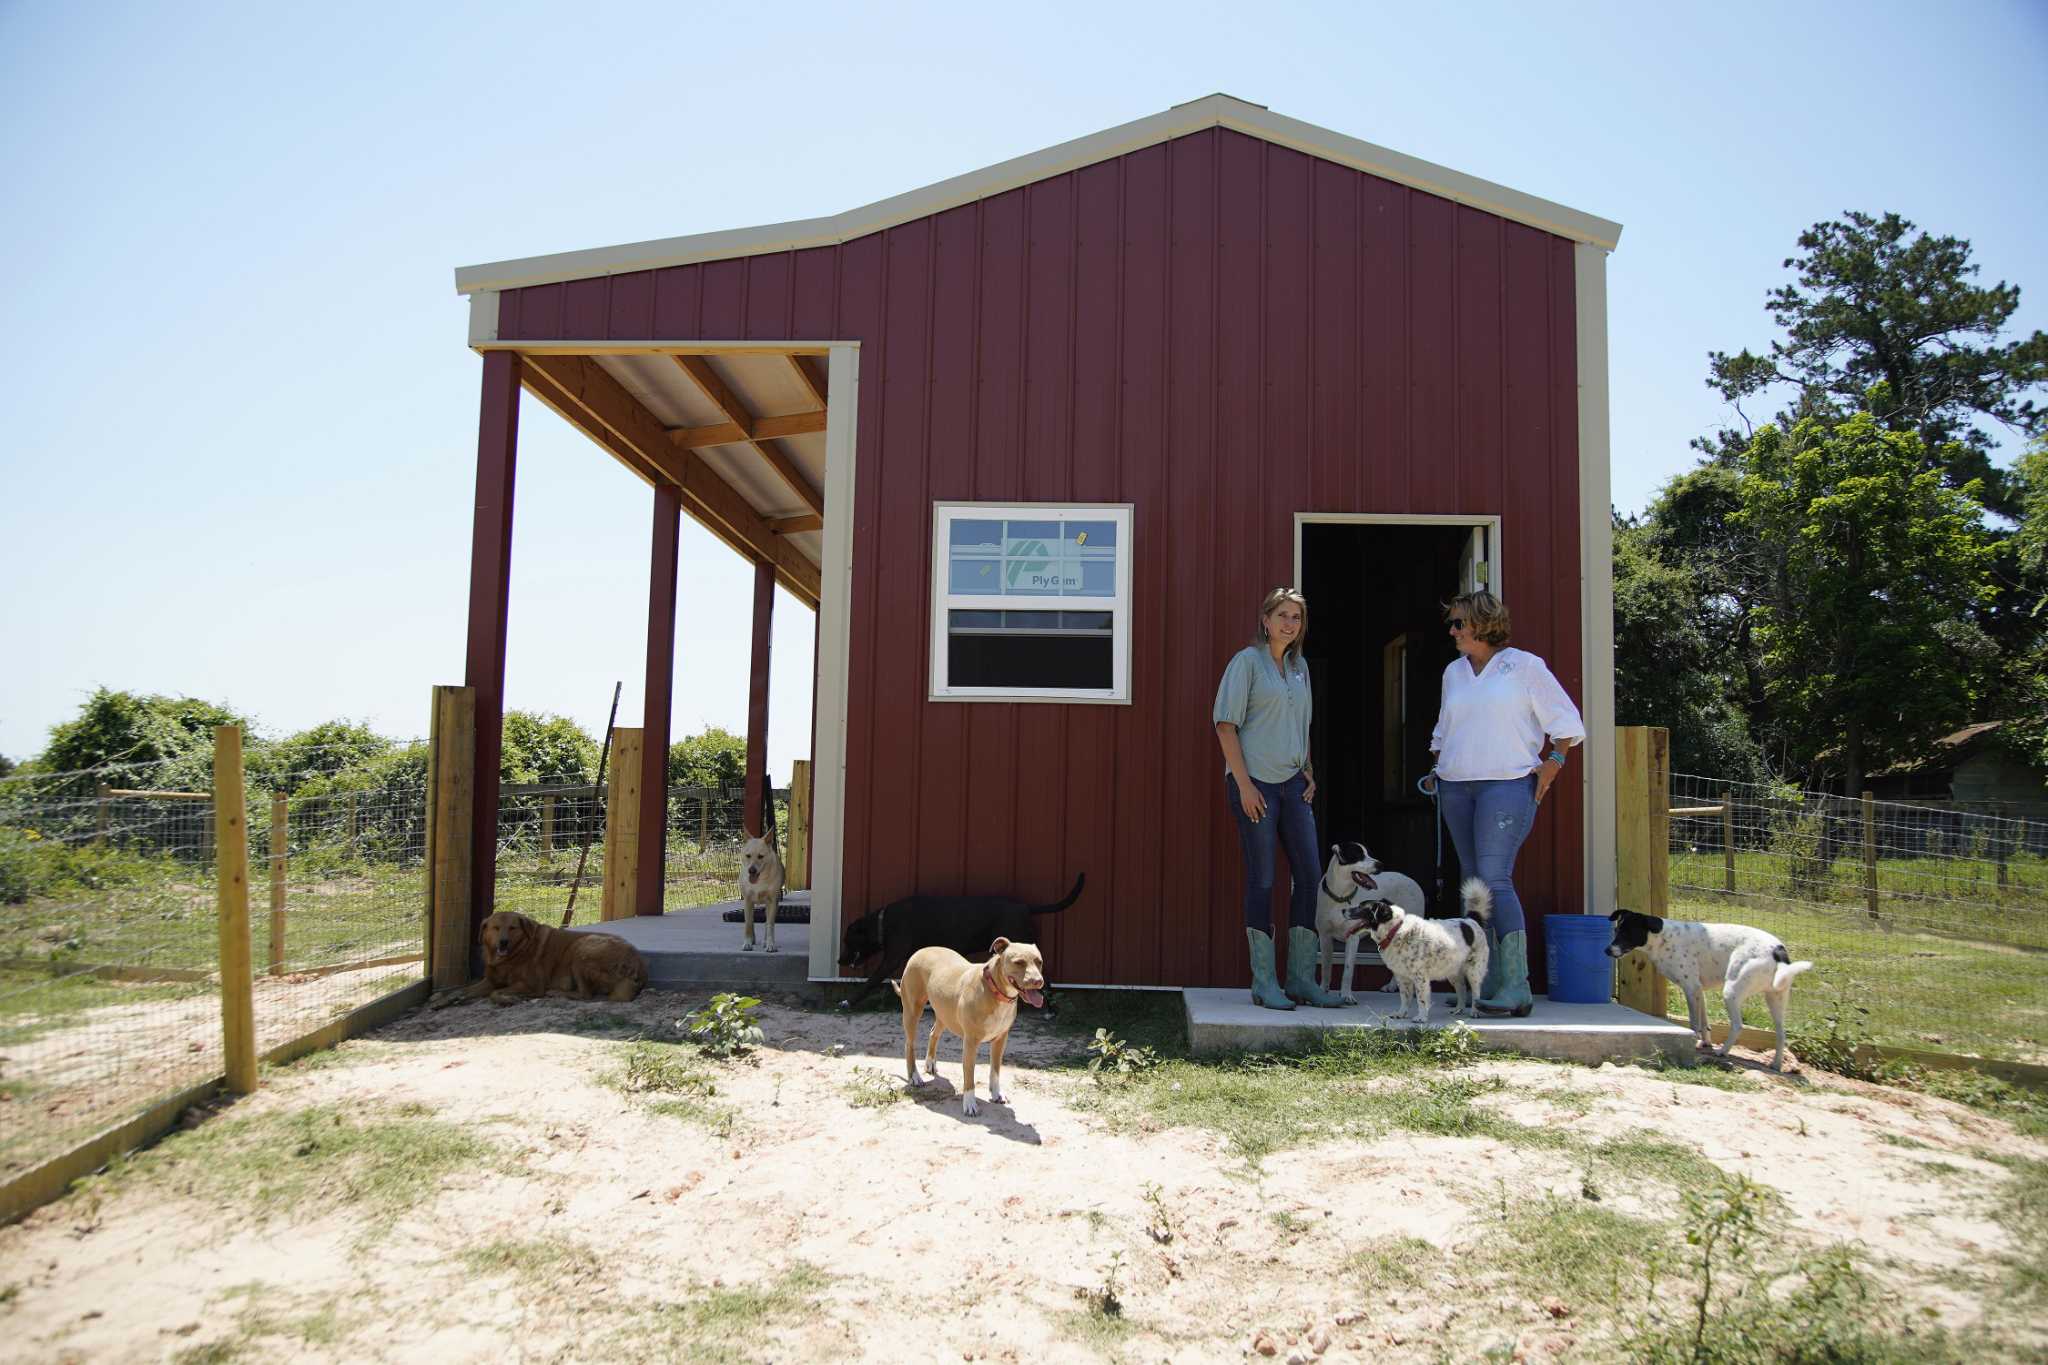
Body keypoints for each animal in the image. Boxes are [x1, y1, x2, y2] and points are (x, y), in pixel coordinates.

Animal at [835, 871, 1081, 1010]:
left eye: (847, 940)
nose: (839, 960)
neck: (882, 921)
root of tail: (1026, 907)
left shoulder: (891, 959)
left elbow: (871, 981)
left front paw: (848, 1002)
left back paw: (1050, 1011)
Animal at [892, 941, 1048, 1121]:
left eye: (1039, 962)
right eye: (1019, 962)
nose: (1038, 981)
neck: (995, 991)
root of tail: (921, 951)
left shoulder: (1000, 1040)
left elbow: (995, 1070)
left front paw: (996, 1094)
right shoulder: (971, 1042)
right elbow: (969, 1075)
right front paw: (969, 1104)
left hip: (945, 1015)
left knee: (933, 1033)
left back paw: (930, 1064)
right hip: (912, 1011)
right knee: (909, 1044)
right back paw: (914, 1077)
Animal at [1310, 843, 1425, 1002]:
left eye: (1368, 853)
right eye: (1358, 855)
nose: (1381, 865)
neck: (1341, 896)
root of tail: (1412, 881)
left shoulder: (1352, 938)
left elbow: (1348, 970)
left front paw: (1346, 995)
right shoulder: (1324, 936)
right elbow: (1326, 967)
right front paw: (1322, 992)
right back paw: (1392, 987)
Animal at [1359, 879, 1490, 1019]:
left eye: (1361, 908)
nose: (1348, 910)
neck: (1395, 931)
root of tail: (1471, 920)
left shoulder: (1420, 977)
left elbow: (1421, 999)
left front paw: (1421, 1017)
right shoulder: (1402, 977)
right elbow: (1404, 998)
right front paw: (1401, 1013)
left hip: (1473, 971)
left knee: (1476, 993)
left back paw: (1475, 1011)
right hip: (1453, 972)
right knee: (1462, 989)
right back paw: (1458, 1009)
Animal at [1605, 912, 1818, 1072]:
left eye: (1628, 932)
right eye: (1615, 930)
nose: (1607, 951)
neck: (1663, 938)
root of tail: (1777, 950)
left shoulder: (1690, 987)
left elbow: (1694, 1022)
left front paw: (1696, 1042)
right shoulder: (1699, 991)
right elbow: (1705, 1022)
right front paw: (1704, 1042)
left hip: (1731, 991)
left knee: (1738, 1025)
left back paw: (1723, 1051)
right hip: (1776, 998)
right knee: (1781, 1033)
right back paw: (1776, 1064)